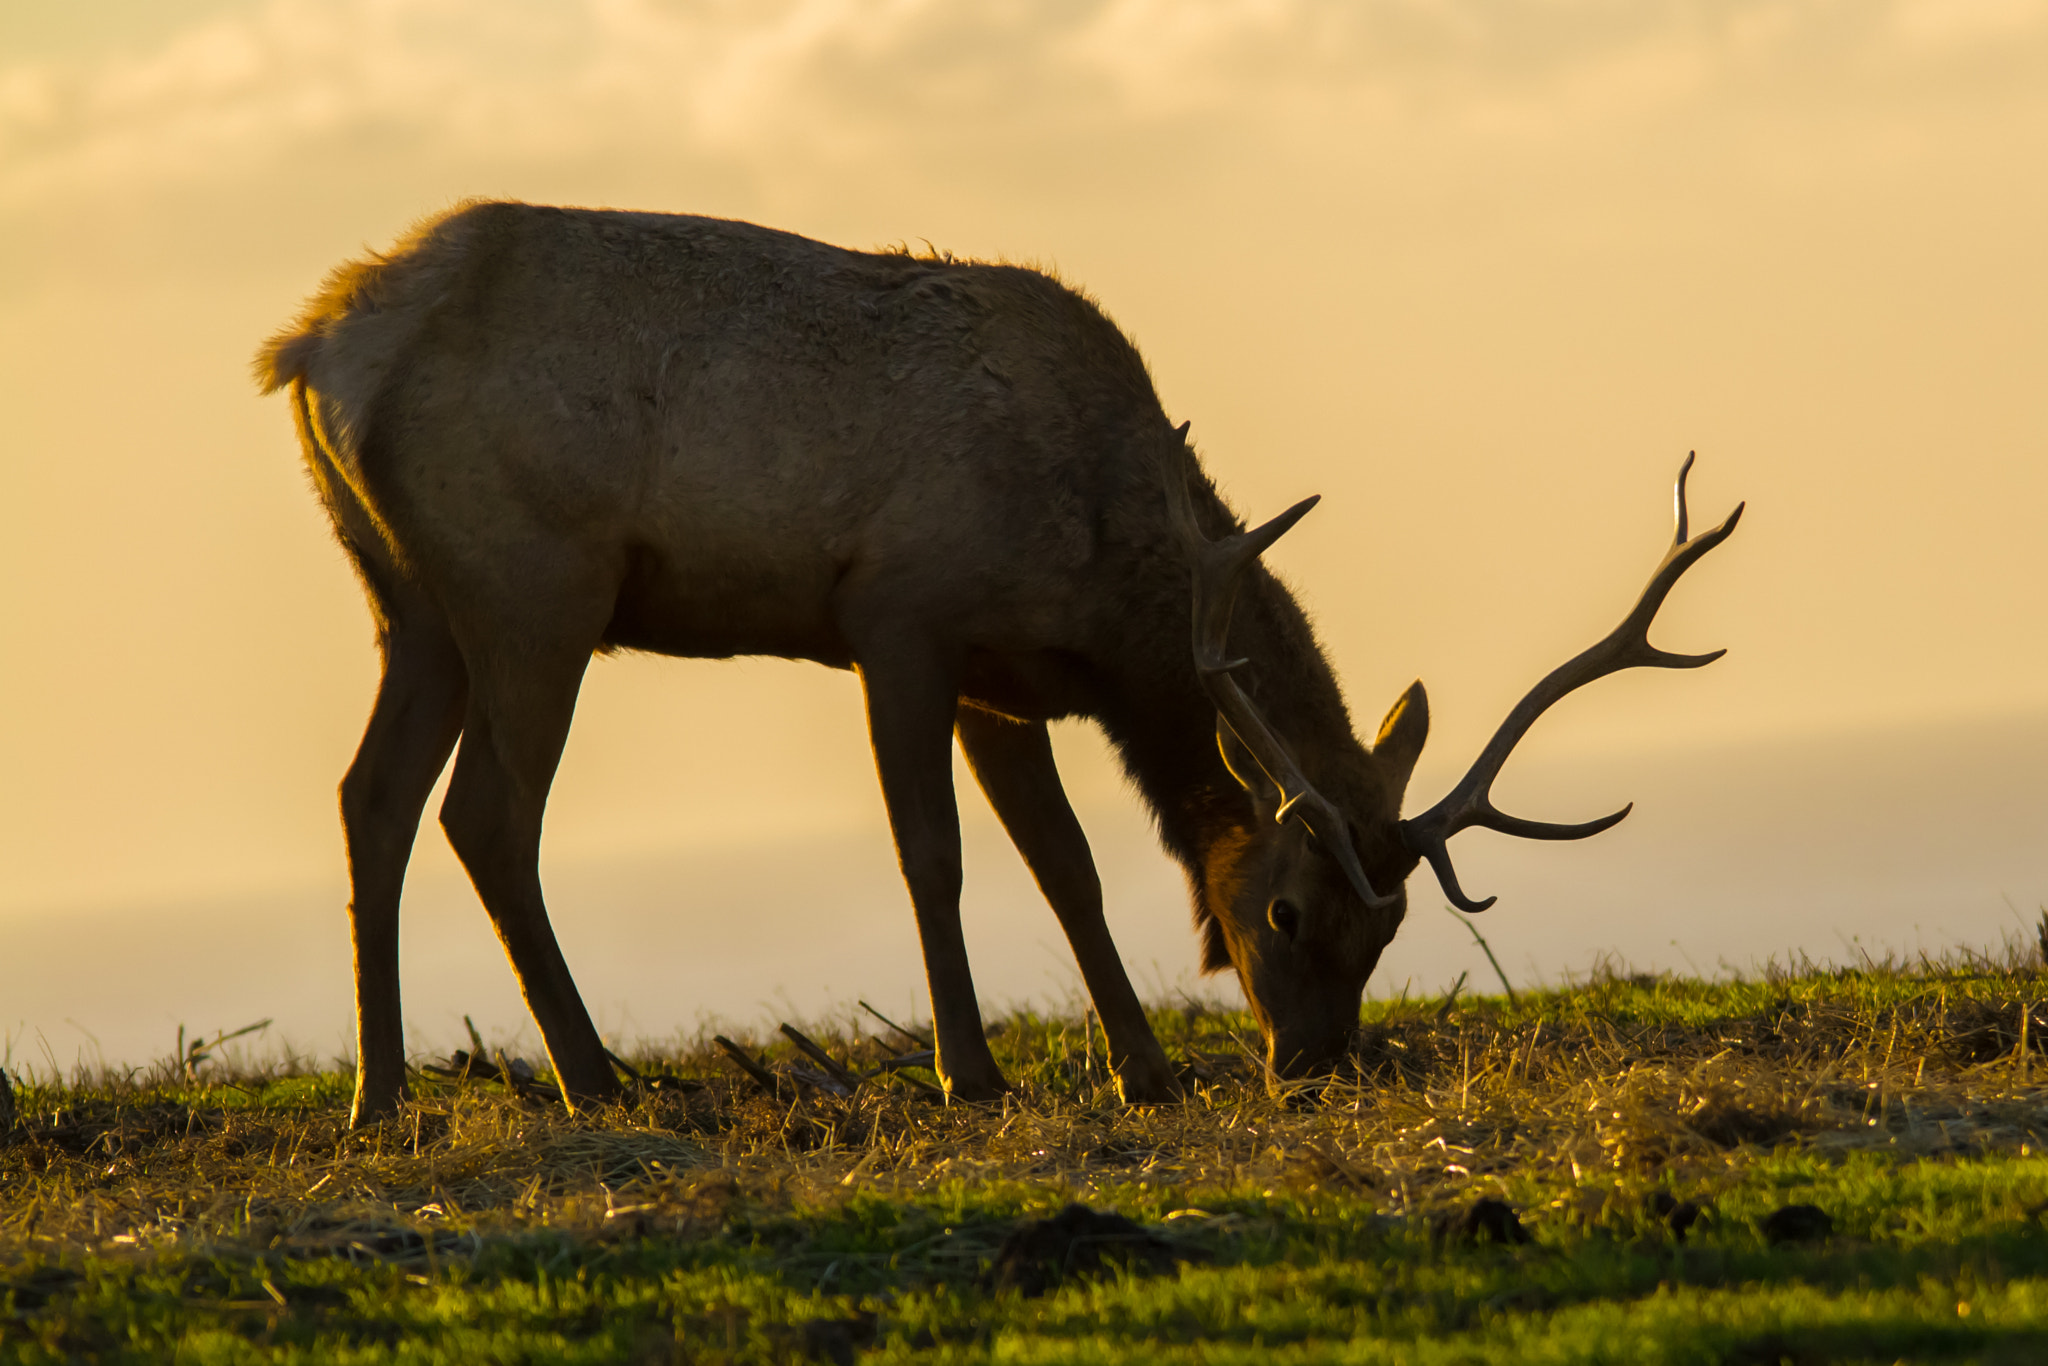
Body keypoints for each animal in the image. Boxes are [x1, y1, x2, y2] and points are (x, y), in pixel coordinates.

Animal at [255, 200, 1741, 1126]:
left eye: (1390, 929)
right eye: (1284, 914)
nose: (1315, 1067)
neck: (1108, 580)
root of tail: (313, 345)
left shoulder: (997, 676)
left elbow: (1066, 865)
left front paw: (1145, 1069)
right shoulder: (898, 617)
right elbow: (937, 854)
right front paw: (969, 1072)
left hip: (410, 600)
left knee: (370, 796)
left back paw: (382, 1091)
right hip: (534, 585)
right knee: (487, 813)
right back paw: (596, 1079)